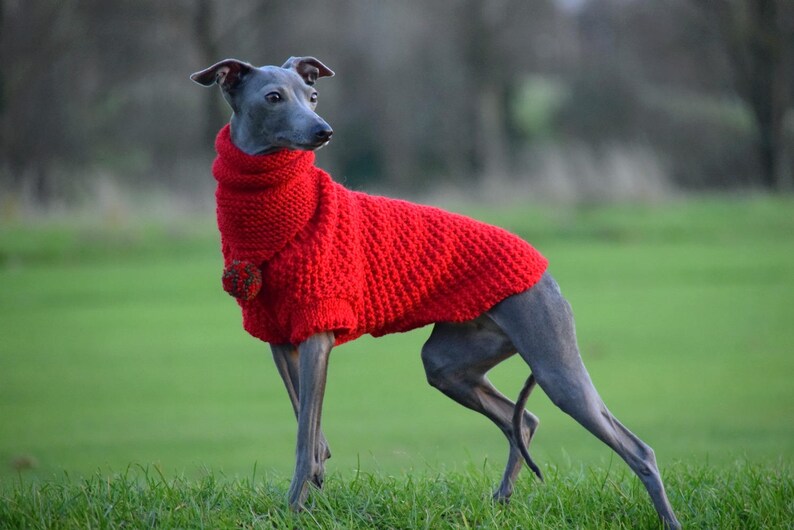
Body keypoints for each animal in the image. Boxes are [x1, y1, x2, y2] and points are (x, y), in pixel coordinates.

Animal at [189, 55, 676, 524]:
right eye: (273, 97)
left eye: (313, 95)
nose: (323, 131)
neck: (282, 214)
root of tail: (542, 269)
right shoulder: (280, 340)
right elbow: (306, 424)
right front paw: (314, 489)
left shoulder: (318, 333)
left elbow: (303, 436)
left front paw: (294, 507)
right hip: (448, 363)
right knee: (524, 421)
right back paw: (499, 502)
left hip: (555, 367)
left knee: (638, 449)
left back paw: (664, 515)